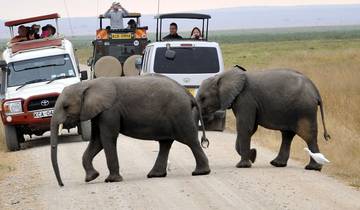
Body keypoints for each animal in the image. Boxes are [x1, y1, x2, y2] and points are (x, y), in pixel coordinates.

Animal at [50, 74, 211, 186]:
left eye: (65, 106)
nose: (62, 184)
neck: (87, 85)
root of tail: (188, 94)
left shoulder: (110, 111)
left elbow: (107, 138)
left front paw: (112, 180)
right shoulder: (97, 112)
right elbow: (97, 141)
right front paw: (91, 177)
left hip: (179, 113)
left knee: (190, 140)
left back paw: (201, 172)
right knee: (165, 143)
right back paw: (155, 175)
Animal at [195, 68, 330, 171]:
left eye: (203, 98)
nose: (205, 141)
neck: (222, 76)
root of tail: (316, 91)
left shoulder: (245, 99)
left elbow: (245, 127)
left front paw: (243, 165)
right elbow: (250, 128)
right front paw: (253, 155)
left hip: (305, 110)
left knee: (308, 136)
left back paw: (312, 168)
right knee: (287, 135)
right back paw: (277, 164)